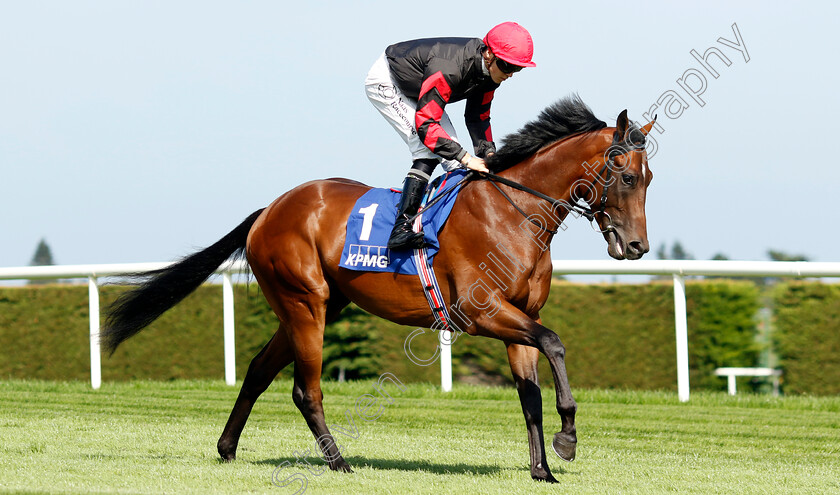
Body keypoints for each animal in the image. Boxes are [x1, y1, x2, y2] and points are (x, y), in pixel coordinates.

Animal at [101, 96, 656, 484]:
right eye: (627, 176)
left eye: (650, 177)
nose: (637, 246)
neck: (513, 214)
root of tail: (269, 210)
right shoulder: (483, 314)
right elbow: (555, 344)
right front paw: (568, 439)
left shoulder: (519, 315)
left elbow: (530, 391)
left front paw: (544, 468)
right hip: (305, 302)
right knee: (305, 388)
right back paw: (338, 462)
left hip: (309, 305)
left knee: (258, 370)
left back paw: (228, 448)